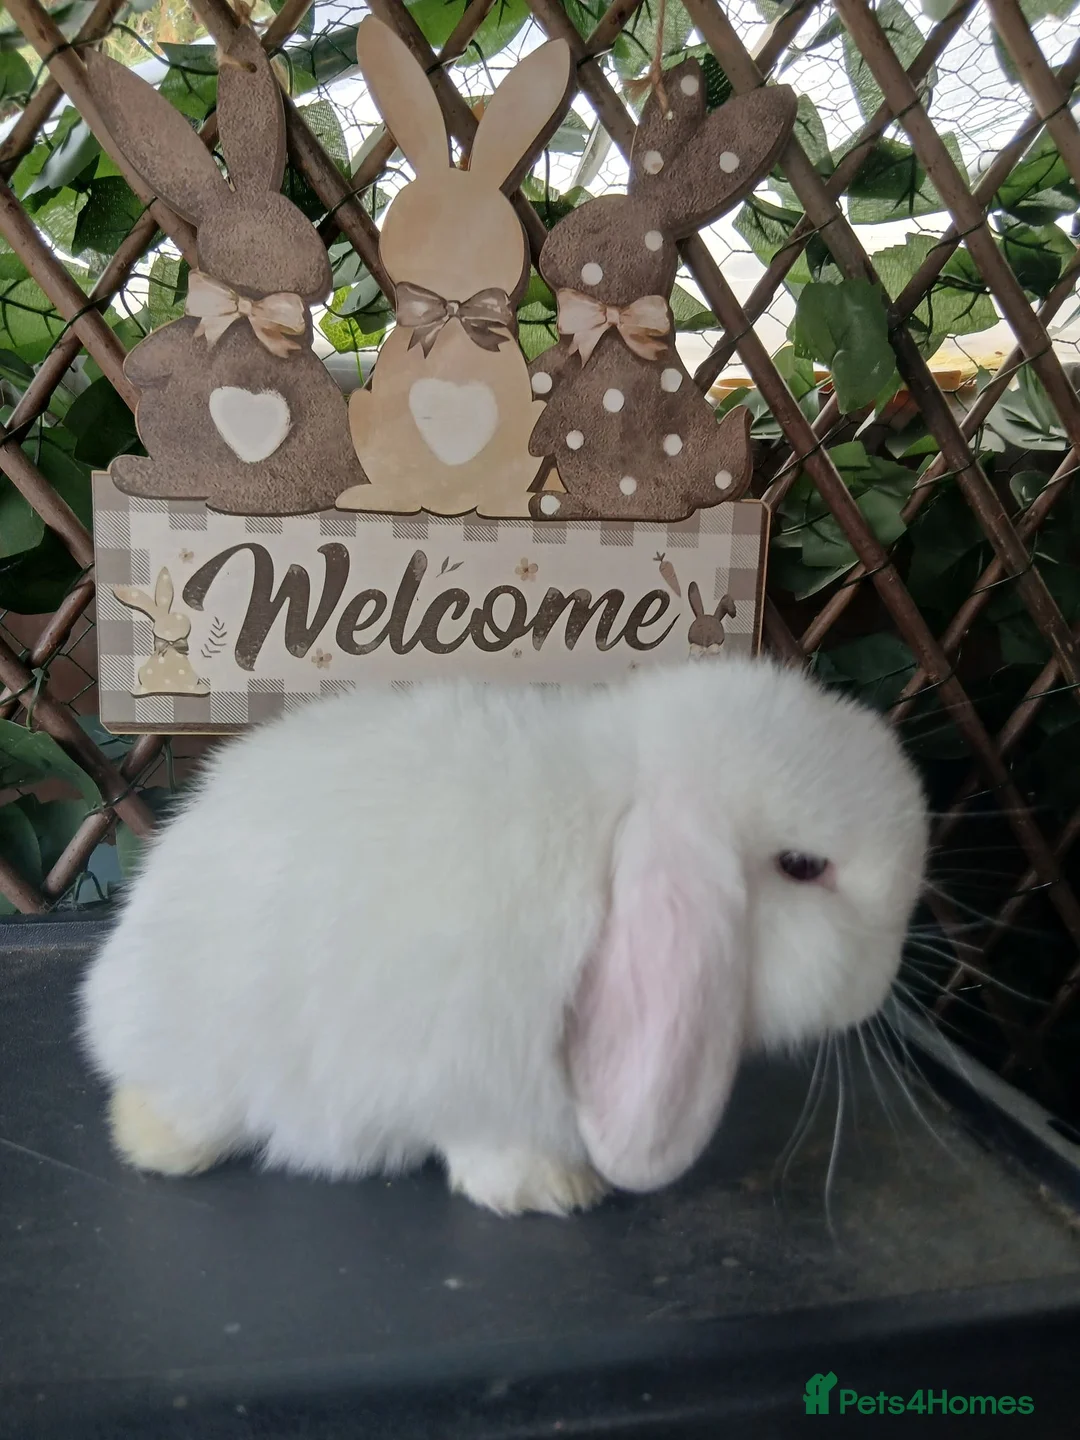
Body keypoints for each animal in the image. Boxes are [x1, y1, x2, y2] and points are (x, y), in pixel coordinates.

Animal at [336, 18, 573, 518]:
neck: (453, 309)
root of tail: (443, 506)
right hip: (363, 411)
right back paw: (377, 497)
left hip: (534, 424)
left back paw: (508, 505)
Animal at [527, 62, 797, 522]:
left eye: (597, 236)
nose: (547, 259)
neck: (614, 319)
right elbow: (548, 371)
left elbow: (560, 410)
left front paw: (536, 436)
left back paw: (554, 504)